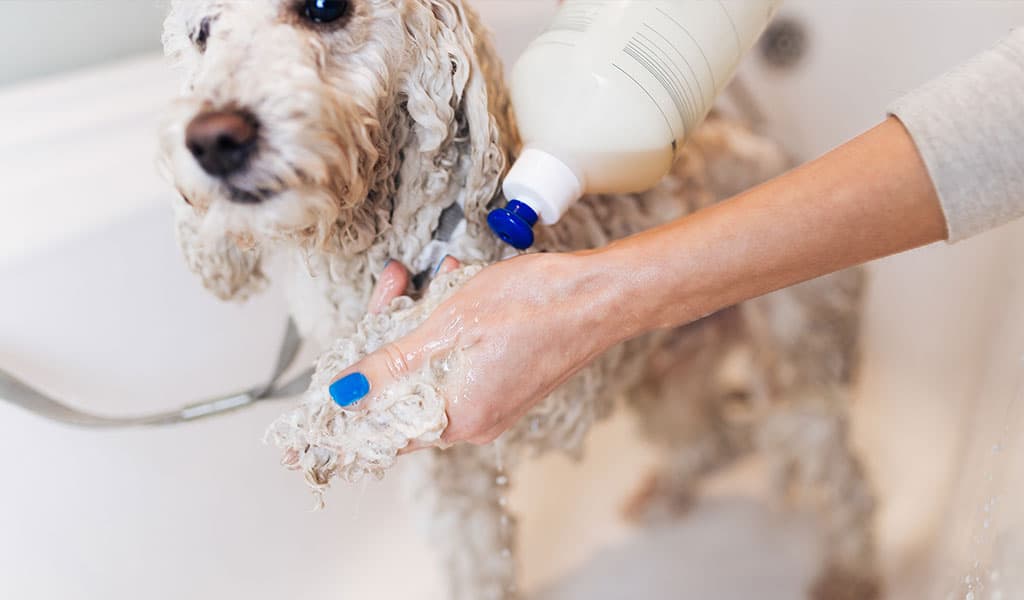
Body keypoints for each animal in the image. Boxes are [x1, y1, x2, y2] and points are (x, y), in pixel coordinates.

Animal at [159, 1, 880, 597]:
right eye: (202, 33)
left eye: (323, 6)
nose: (214, 138)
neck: (367, 242)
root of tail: (770, 143)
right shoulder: (451, 483)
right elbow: (476, 568)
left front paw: (332, 411)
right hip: (667, 374)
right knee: (714, 439)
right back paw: (667, 495)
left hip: (794, 355)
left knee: (839, 477)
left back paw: (849, 575)